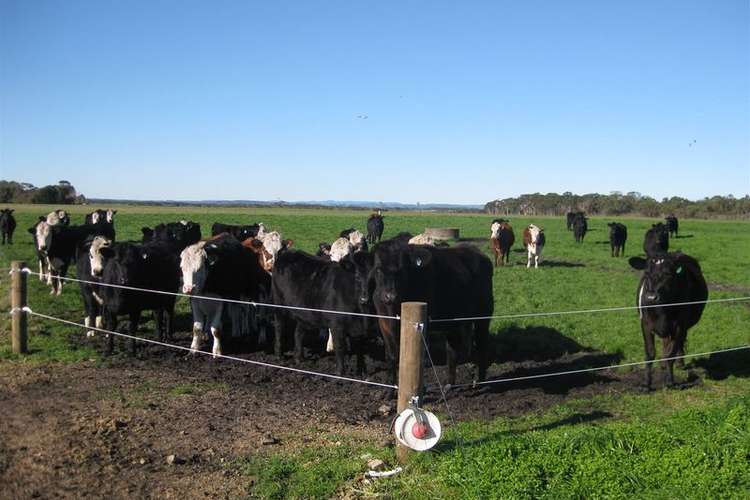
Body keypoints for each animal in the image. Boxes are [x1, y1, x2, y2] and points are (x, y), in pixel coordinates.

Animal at [370, 240, 494, 384]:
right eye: (378, 269)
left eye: (403, 270)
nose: (390, 296)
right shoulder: (383, 323)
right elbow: (391, 355)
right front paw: (390, 385)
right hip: (454, 319)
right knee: (453, 350)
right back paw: (449, 384)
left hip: (484, 316)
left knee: (482, 345)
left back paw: (481, 380)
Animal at [632, 252, 708, 388]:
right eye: (646, 272)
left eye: (668, 274)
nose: (651, 297)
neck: (662, 310)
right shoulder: (645, 324)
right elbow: (650, 353)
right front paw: (646, 383)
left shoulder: (679, 326)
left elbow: (671, 354)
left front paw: (670, 381)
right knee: (666, 341)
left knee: (677, 343)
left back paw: (679, 363)